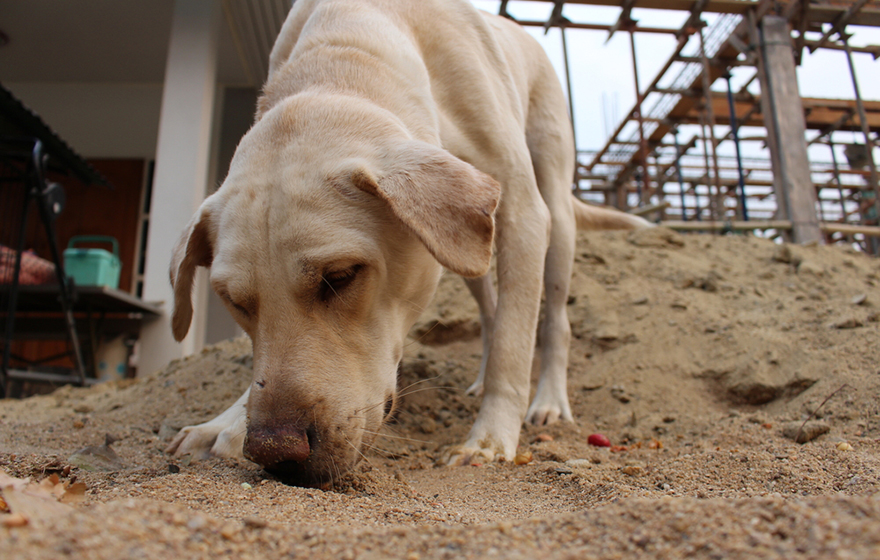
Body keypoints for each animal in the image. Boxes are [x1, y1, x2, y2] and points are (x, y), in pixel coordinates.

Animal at [167, 0, 648, 484]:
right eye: (234, 302)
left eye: (340, 276)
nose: (276, 452)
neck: (345, 53)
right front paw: (225, 423)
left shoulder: (524, 214)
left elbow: (513, 345)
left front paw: (490, 439)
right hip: (463, 243)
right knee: (491, 307)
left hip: (553, 209)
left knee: (552, 319)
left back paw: (548, 399)